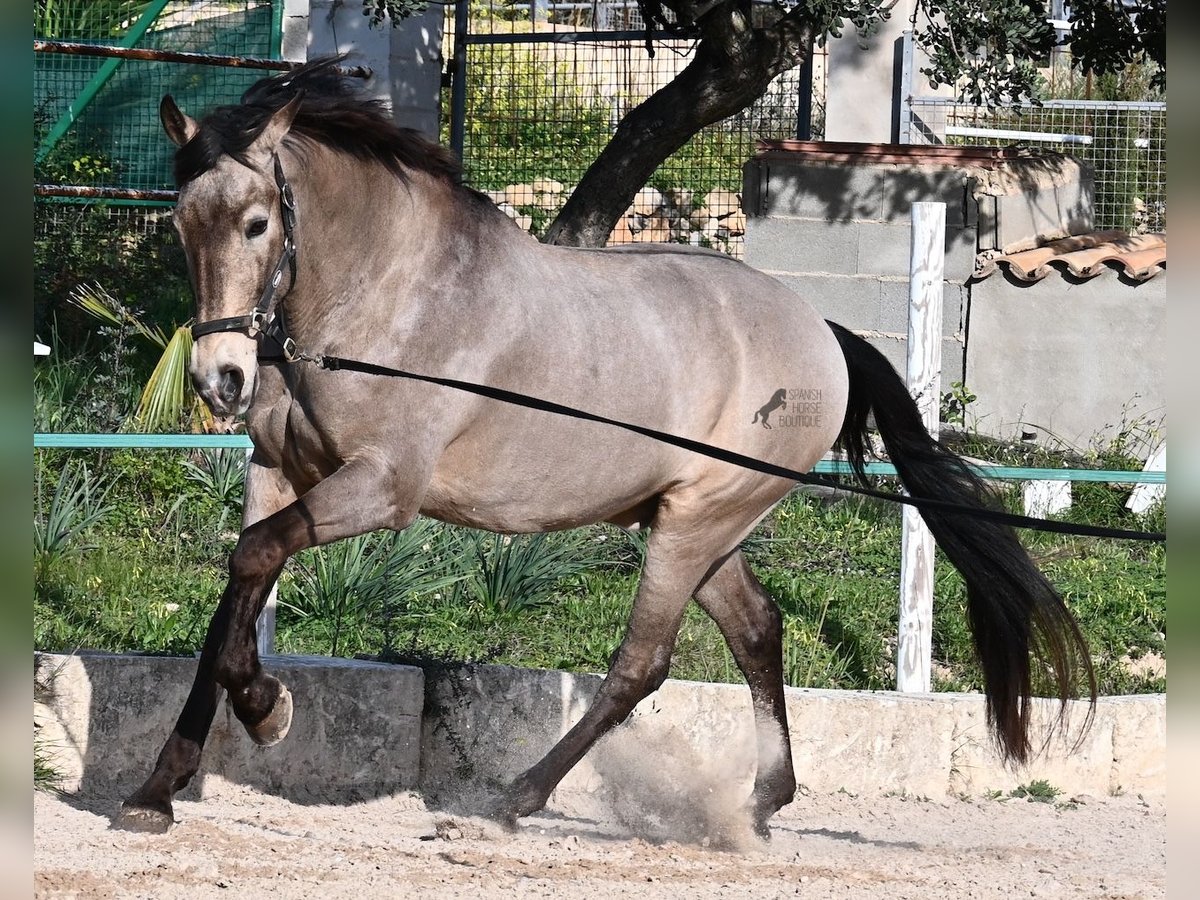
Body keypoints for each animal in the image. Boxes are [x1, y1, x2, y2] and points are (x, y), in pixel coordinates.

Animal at [117, 60, 1094, 840]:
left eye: (255, 223)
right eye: (182, 221)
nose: (219, 380)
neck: (384, 299)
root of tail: (822, 329)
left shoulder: (381, 490)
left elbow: (253, 562)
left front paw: (266, 711)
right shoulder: (278, 474)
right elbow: (234, 593)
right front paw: (160, 787)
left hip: (695, 526)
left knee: (641, 665)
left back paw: (517, 798)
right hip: (698, 525)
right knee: (758, 631)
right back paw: (761, 802)